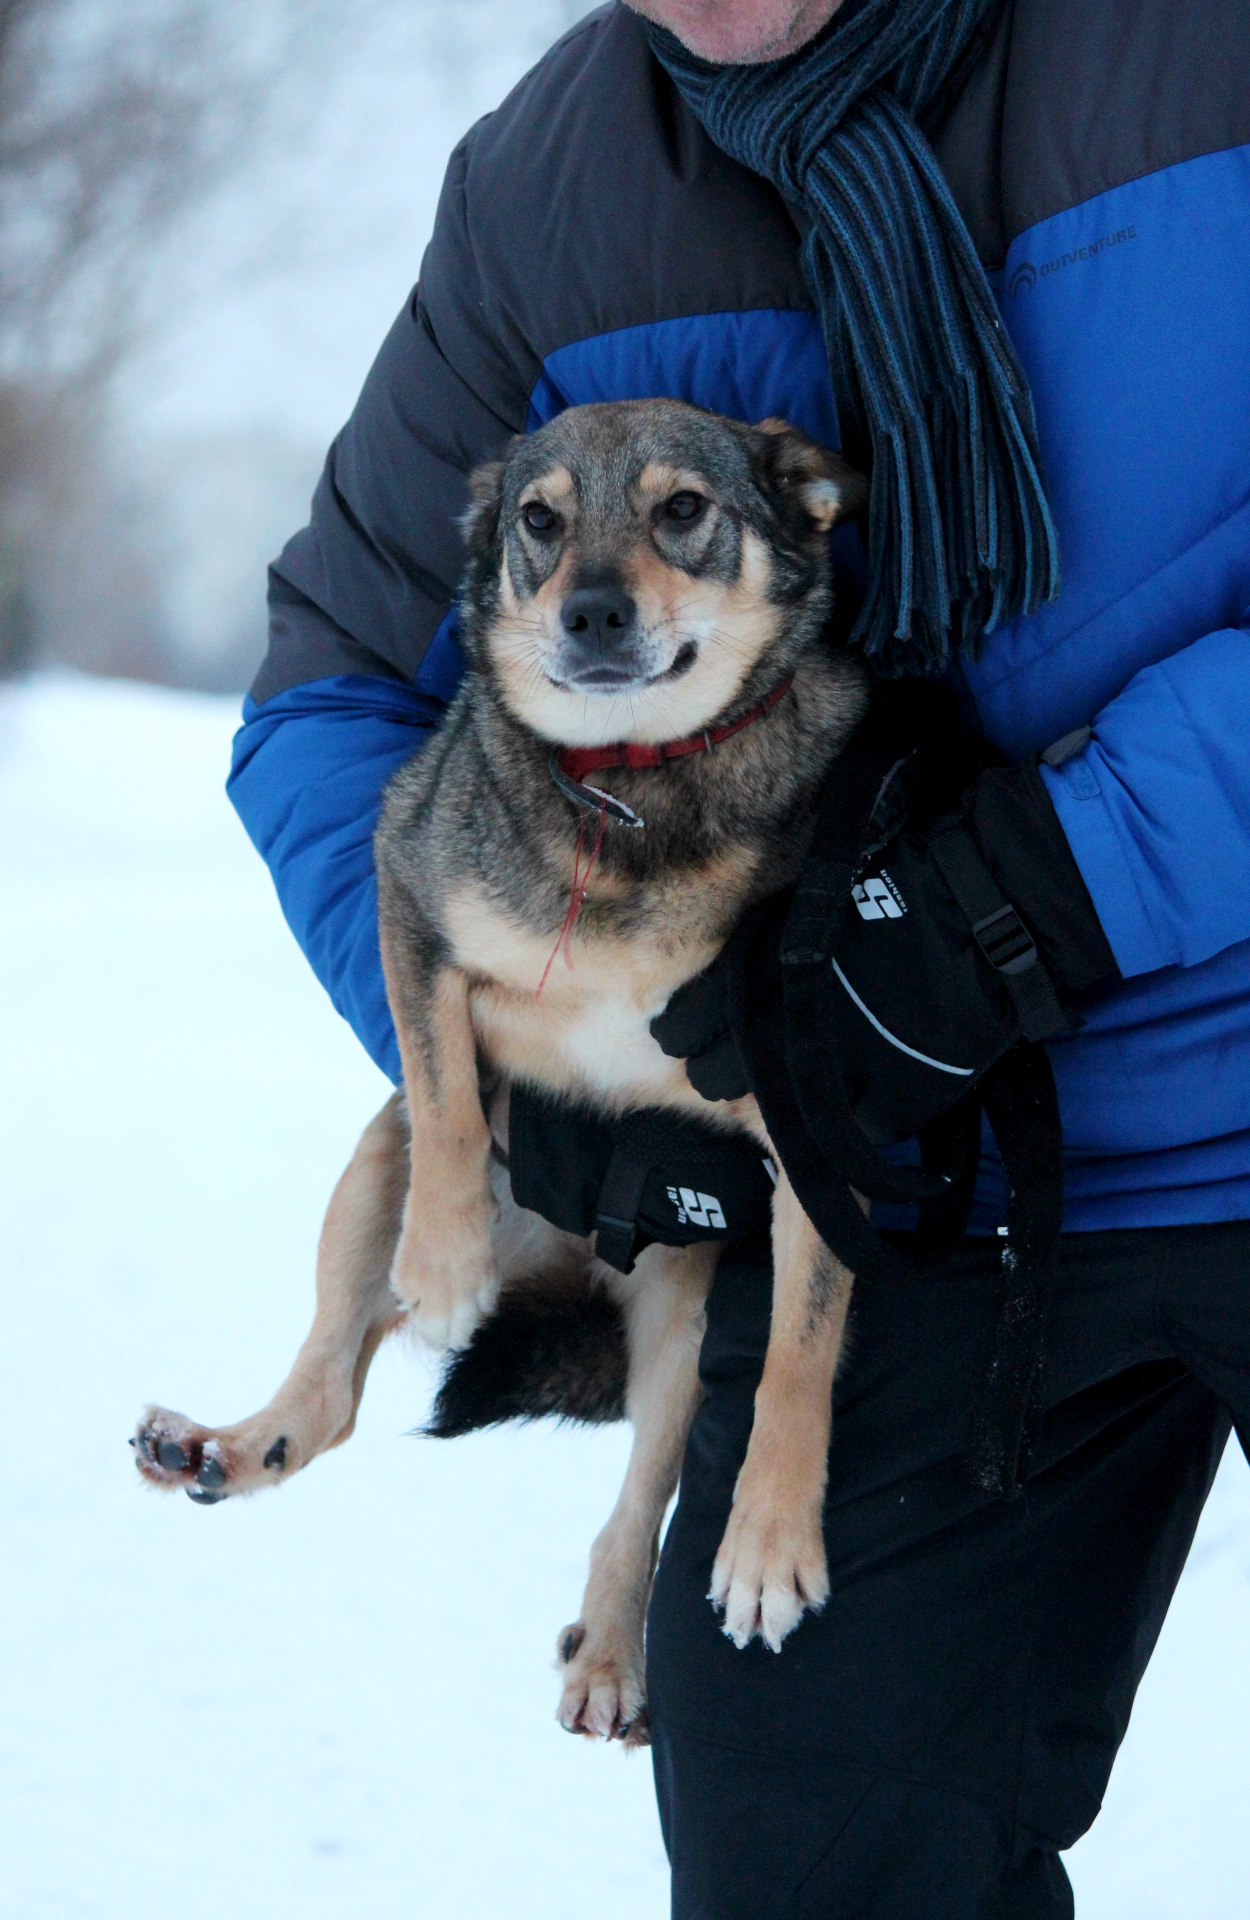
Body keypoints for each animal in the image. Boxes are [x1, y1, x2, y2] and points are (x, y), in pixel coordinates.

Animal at [134, 397, 871, 1751]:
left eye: (681, 508)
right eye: (539, 520)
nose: (590, 613)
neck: (628, 791)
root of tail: (562, 1271)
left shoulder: (818, 1124)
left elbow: (799, 1355)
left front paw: (769, 1541)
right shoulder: (407, 899)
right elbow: (444, 1092)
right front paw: (443, 1259)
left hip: (684, 1332)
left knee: (633, 1514)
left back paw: (614, 1658)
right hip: (360, 1180)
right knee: (331, 1388)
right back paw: (231, 1444)